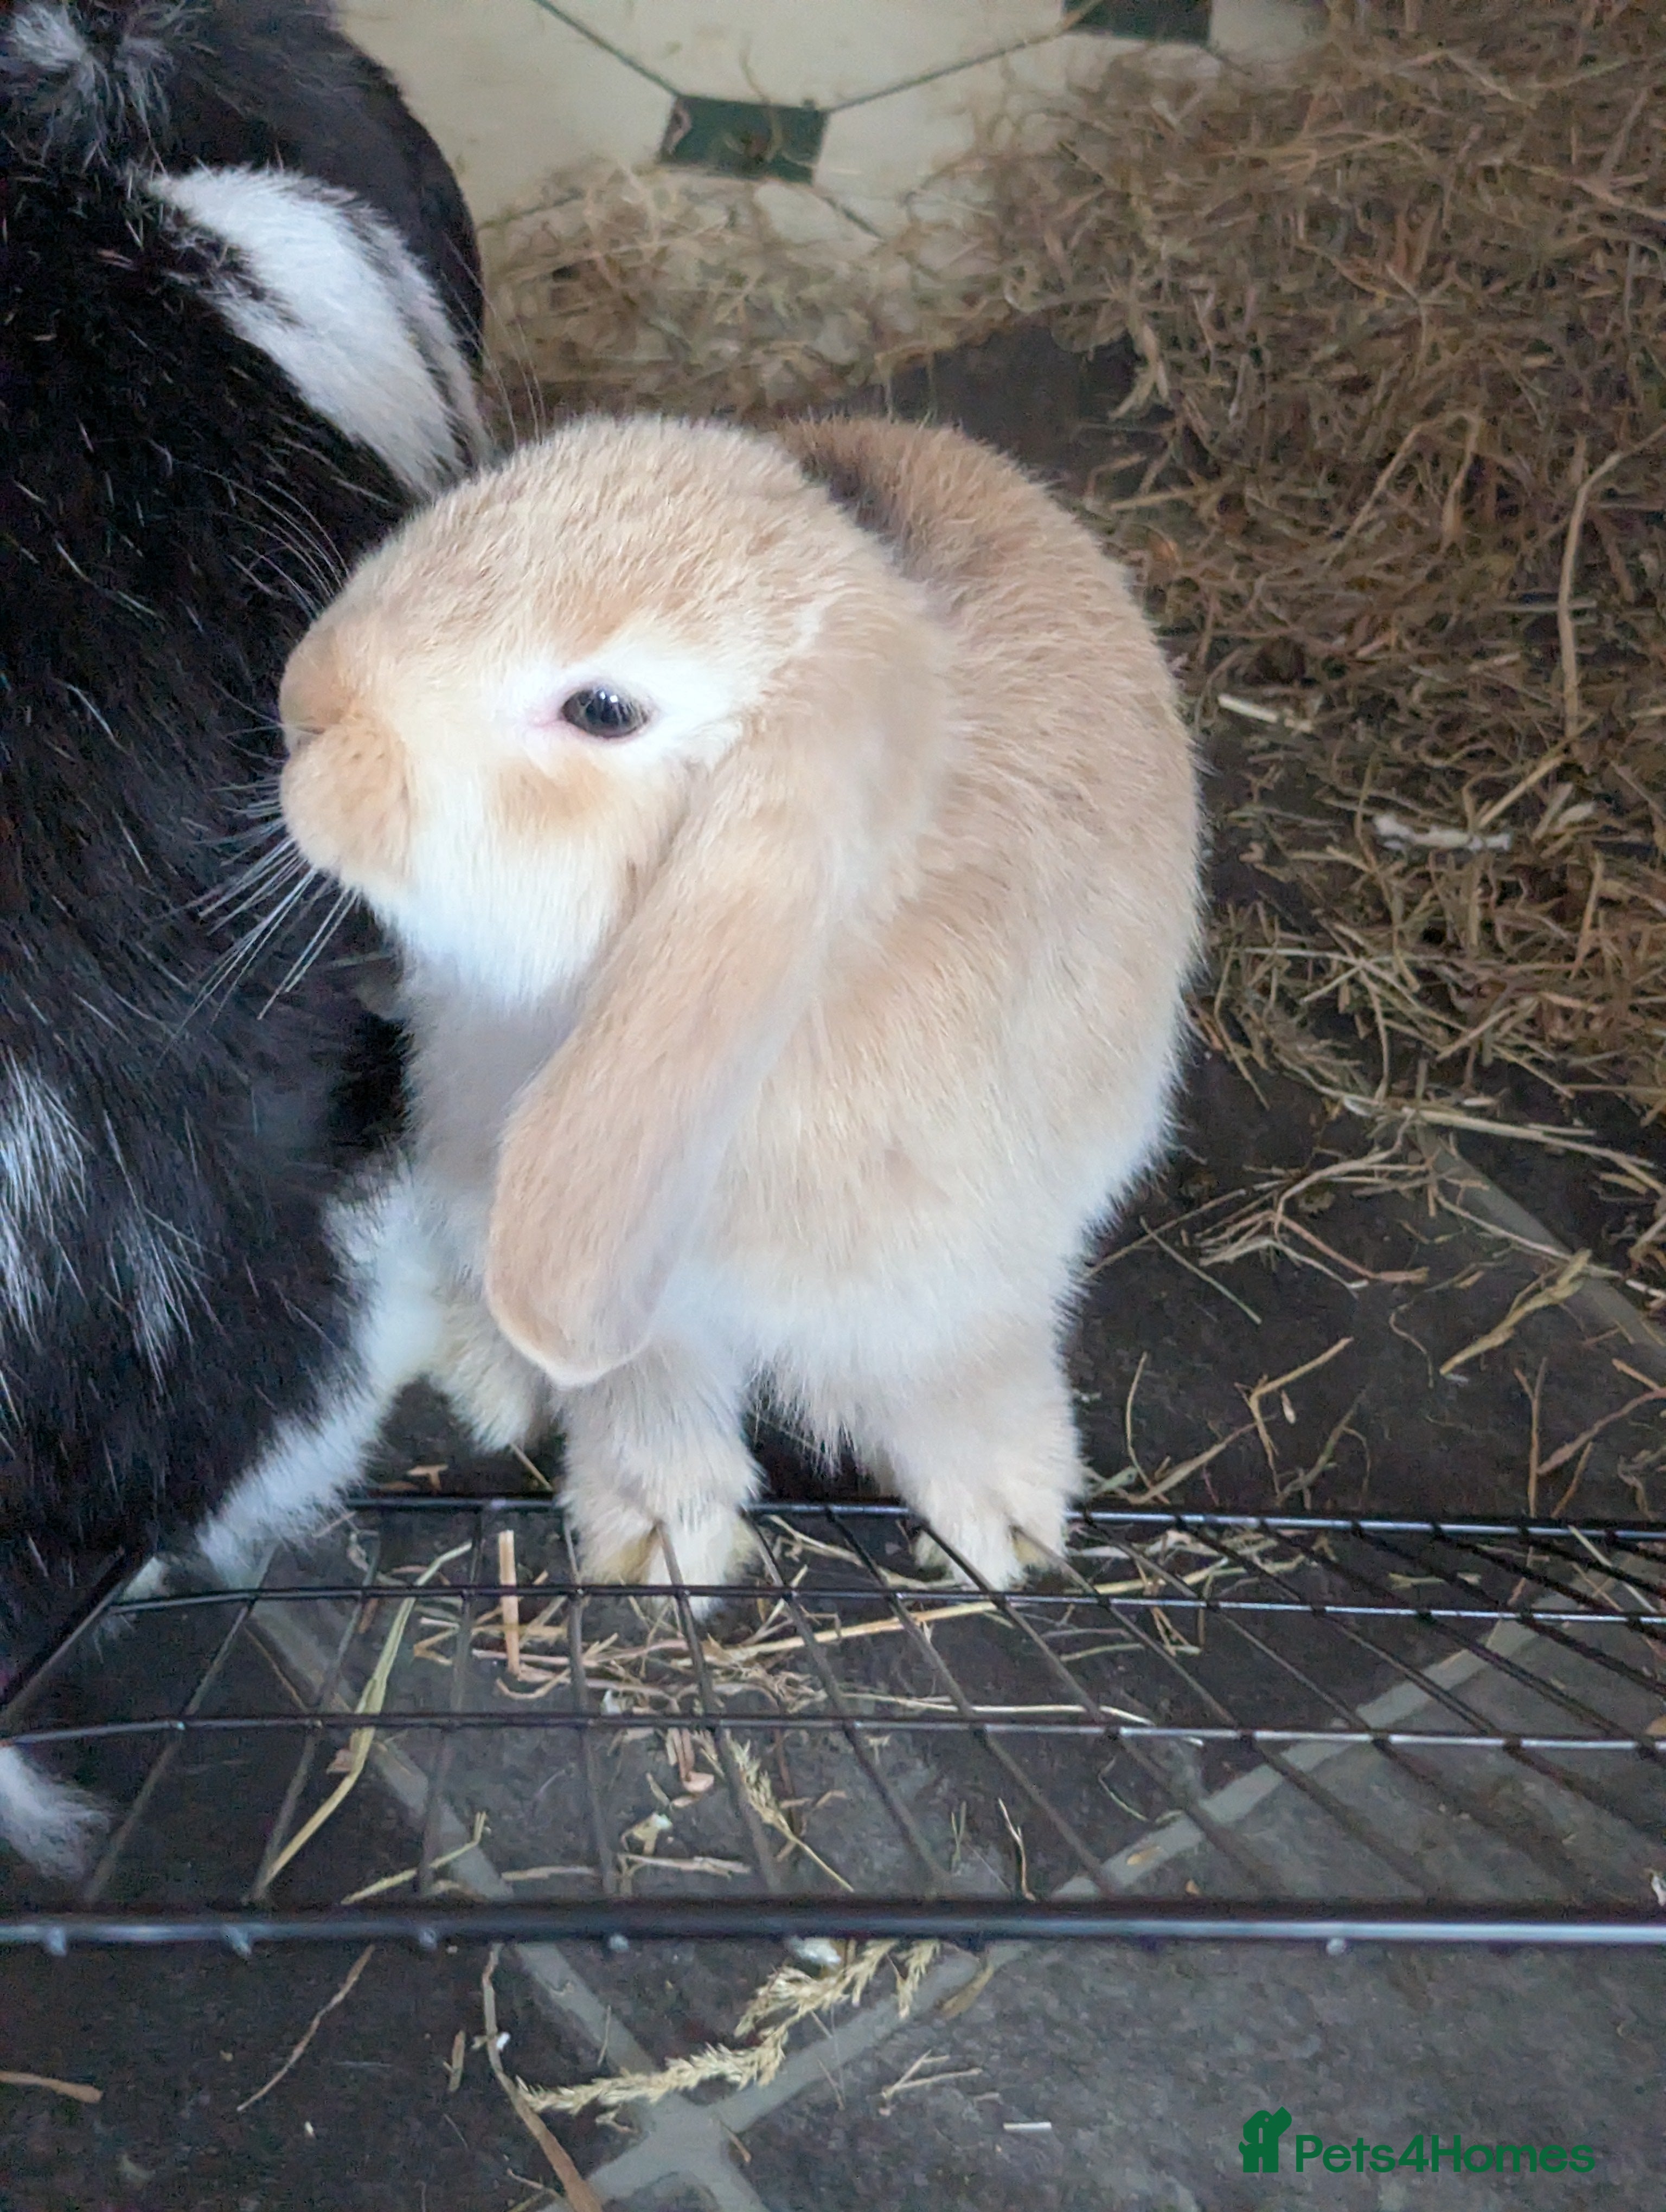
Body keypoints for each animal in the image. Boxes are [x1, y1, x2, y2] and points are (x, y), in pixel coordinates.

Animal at [278, 413, 1202, 1598]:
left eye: (604, 711)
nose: (303, 700)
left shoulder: (970, 1279)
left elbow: (962, 1379)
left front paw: (1005, 1524)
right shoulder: (641, 1299)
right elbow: (645, 1394)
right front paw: (659, 1538)